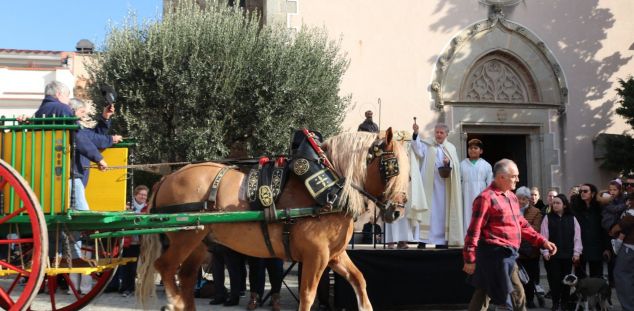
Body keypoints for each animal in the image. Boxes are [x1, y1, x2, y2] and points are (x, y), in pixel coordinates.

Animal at [136, 128, 408, 310]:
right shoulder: (316, 255)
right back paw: (174, 301)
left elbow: (359, 281)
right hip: (185, 237)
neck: (328, 188)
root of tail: (168, 178)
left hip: (199, 243)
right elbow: (307, 295)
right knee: (165, 267)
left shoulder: (334, 255)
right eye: (391, 167)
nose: (397, 211)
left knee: (186, 277)